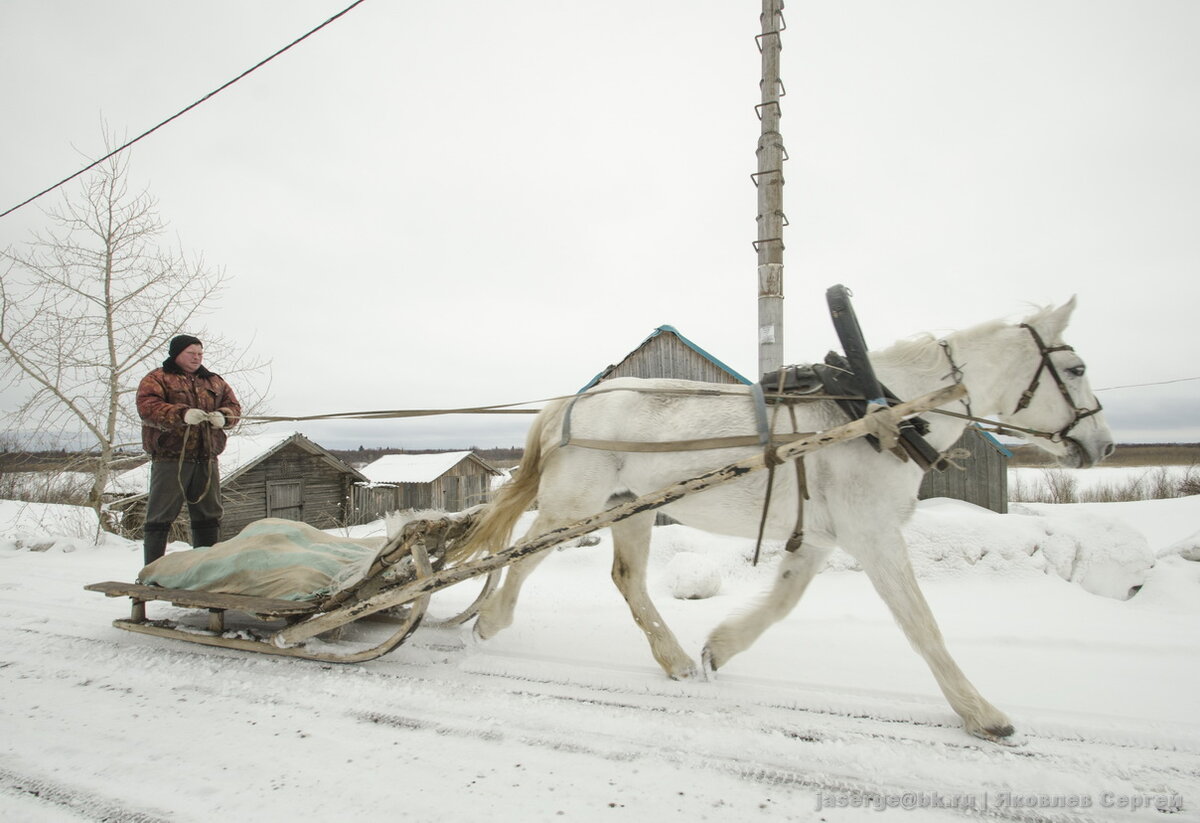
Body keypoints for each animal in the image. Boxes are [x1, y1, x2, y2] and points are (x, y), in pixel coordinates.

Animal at [451, 299, 1113, 743]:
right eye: (1077, 369)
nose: (1103, 445)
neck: (881, 412)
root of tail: (573, 401)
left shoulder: (819, 538)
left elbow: (783, 601)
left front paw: (720, 647)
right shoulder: (874, 535)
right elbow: (922, 625)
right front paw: (981, 713)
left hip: (629, 506)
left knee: (626, 579)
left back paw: (675, 659)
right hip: (574, 505)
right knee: (524, 557)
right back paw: (490, 621)